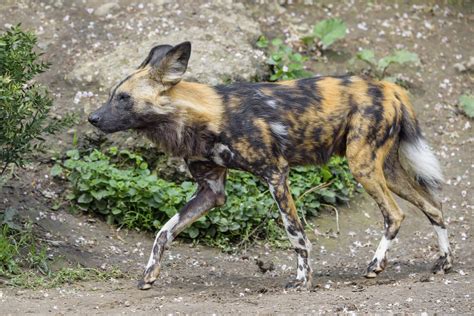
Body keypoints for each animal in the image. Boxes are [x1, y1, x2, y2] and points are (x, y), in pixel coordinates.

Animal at [88, 42, 452, 292]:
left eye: (123, 98)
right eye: (112, 96)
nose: (92, 117)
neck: (203, 117)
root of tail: (390, 87)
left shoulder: (276, 174)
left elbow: (296, 234)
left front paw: (303, 280)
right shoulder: (211, 192)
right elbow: (164, 231)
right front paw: (149, 274)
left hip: (361, 166)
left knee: (396, 215)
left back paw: (376, 264)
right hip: (385, 170)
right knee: (434, 207)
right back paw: (443, 263)